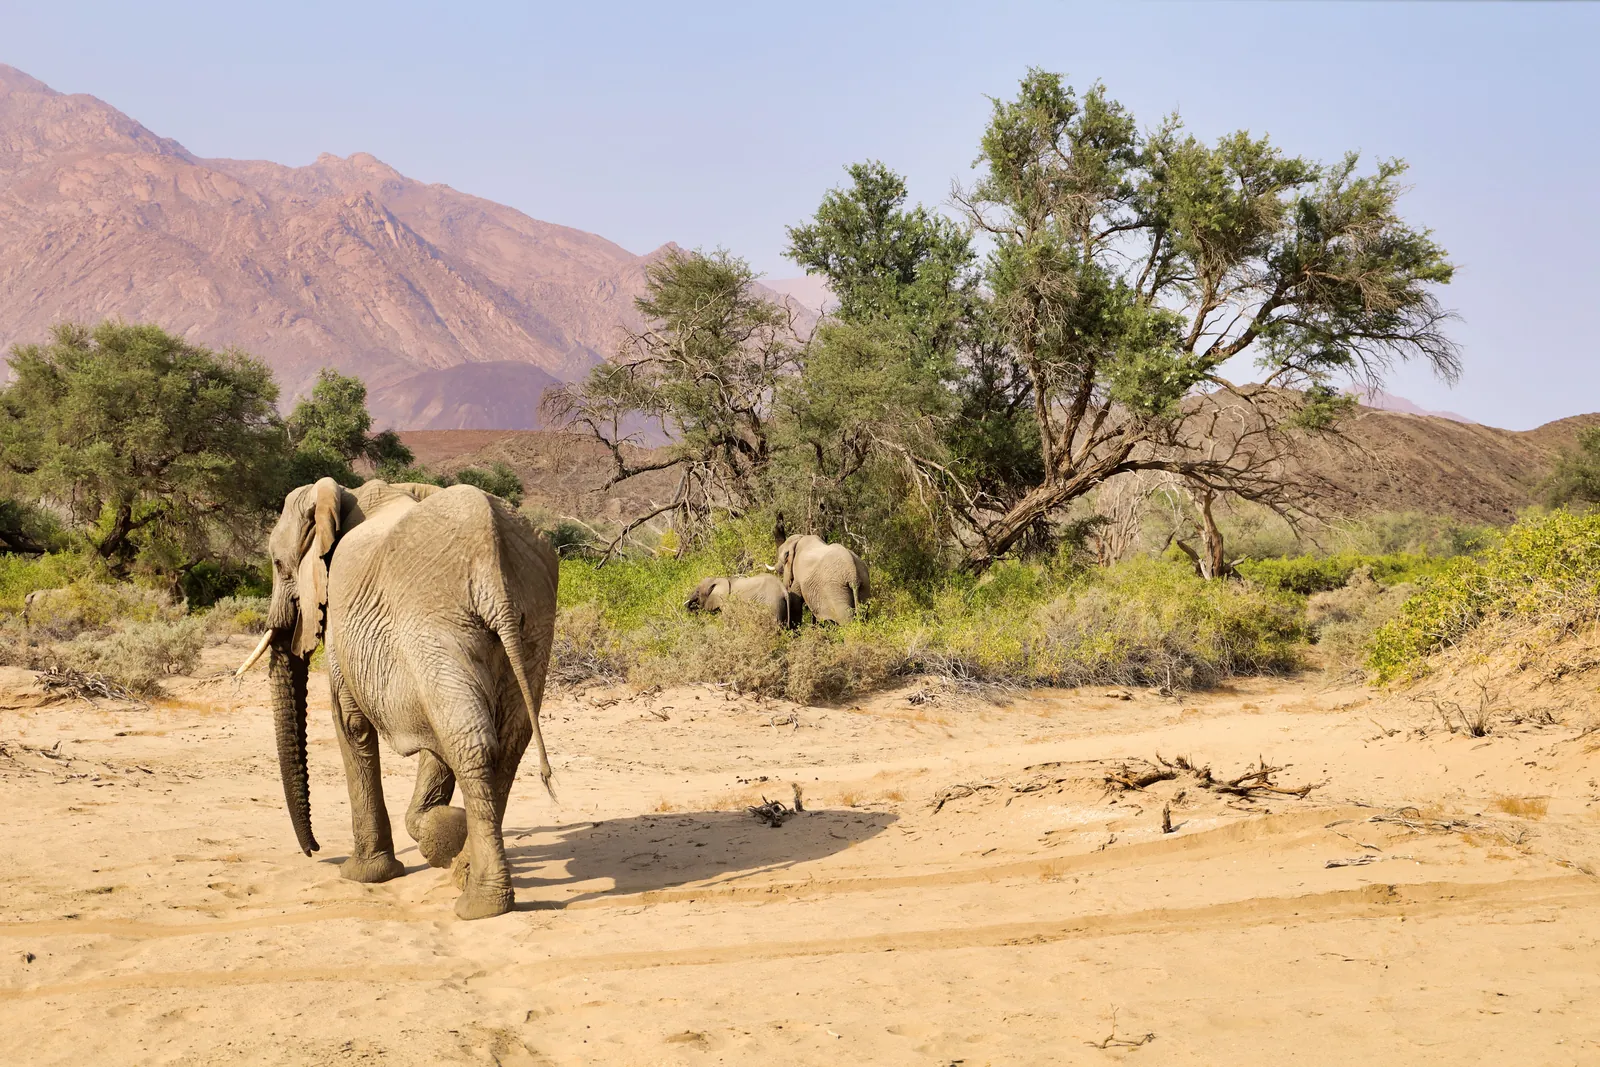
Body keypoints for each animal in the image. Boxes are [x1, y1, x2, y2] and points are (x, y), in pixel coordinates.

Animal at [235, 477, 558, 920]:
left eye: (279, 564)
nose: (314, 850)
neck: (344, 494)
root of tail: (493, 559)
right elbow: (433, 739)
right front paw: (441, 834)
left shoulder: (342, 617)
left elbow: (350, 723)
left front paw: (365, 875)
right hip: (531, 623)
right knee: (504, 742)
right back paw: (465, 872)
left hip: (435, 616)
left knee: (473, 744)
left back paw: (480, 903)